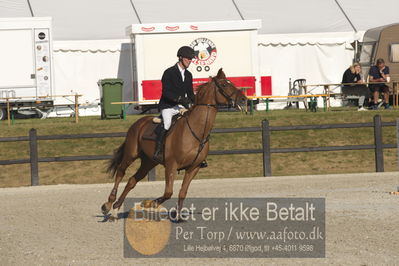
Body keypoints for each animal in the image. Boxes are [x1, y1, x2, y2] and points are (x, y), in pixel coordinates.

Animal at [101, 68, 247, 220]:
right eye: (224, 85)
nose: (244, 100)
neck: (196, 130)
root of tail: (138, 123)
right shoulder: (171, 165)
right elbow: (168, 192)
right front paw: (150, 203)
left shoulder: (193, 168)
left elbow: (182, 192)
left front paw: (178, 215)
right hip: (131, 154)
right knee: (120, 172)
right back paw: (108, 204)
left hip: (149, 162)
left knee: (132, 181)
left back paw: (116, 207)